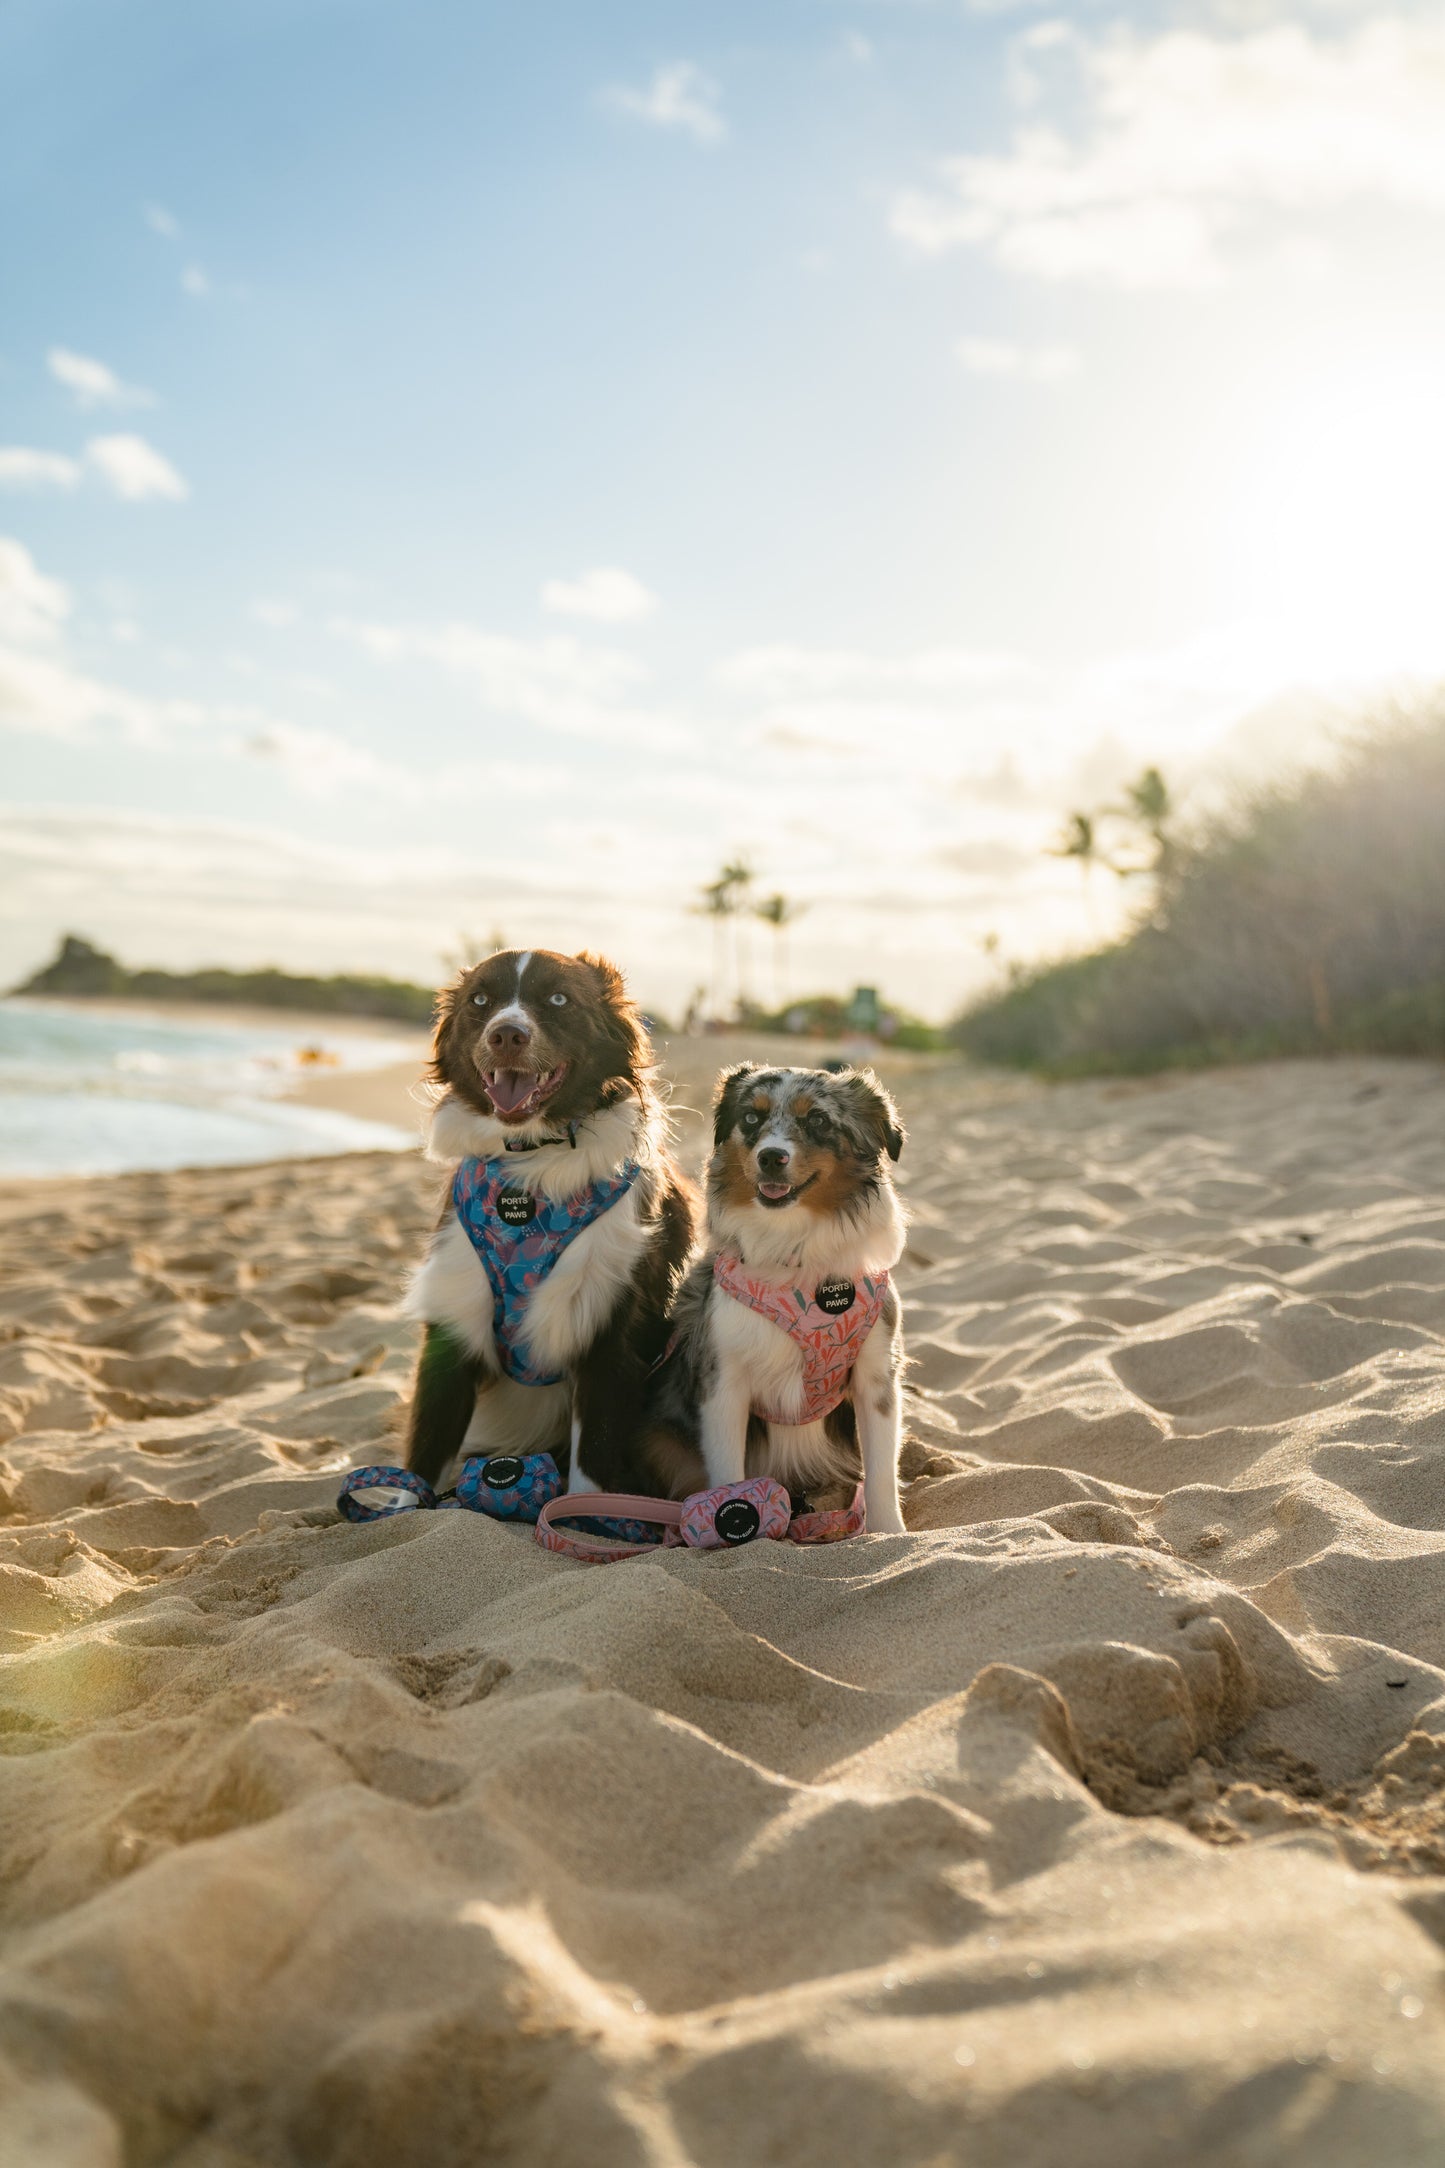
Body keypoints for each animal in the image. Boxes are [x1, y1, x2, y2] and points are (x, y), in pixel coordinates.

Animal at [405, 949, 697, 1491]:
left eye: (559, 999)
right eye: (480, 1000)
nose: (506, 1035)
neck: (532, 1162)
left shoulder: (611, 1327)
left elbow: (593, 1468)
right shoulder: (453, 1320)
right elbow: (422, 1460)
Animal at [641, 1062, 905, 1534]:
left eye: (817, 1120)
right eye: (751, 1117)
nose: (771, 1157)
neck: (793, 1256)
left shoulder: (876, 1374)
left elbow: (880, 1472)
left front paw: (889, 1534)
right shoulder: (722, 1378)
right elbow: (728, 1472)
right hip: (657, 1438)